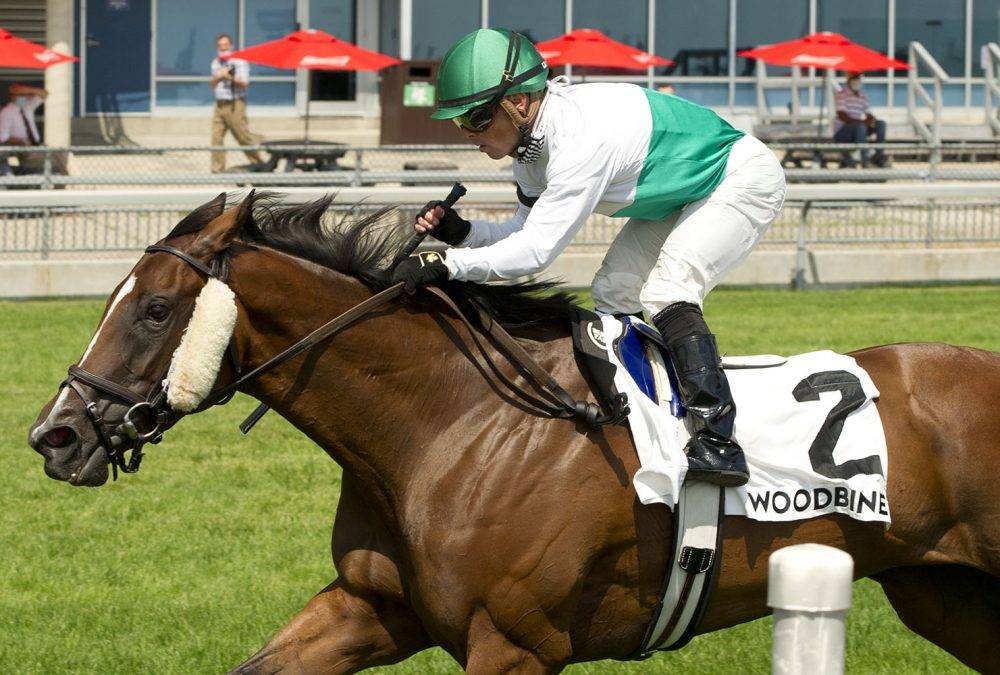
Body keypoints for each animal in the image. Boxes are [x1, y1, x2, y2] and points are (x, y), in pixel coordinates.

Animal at [25, 193, 1000, 672]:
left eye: (154, 309)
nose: (54, 435)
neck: (446, 422)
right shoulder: (373, 605)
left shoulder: (514, 643)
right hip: (941, 591)